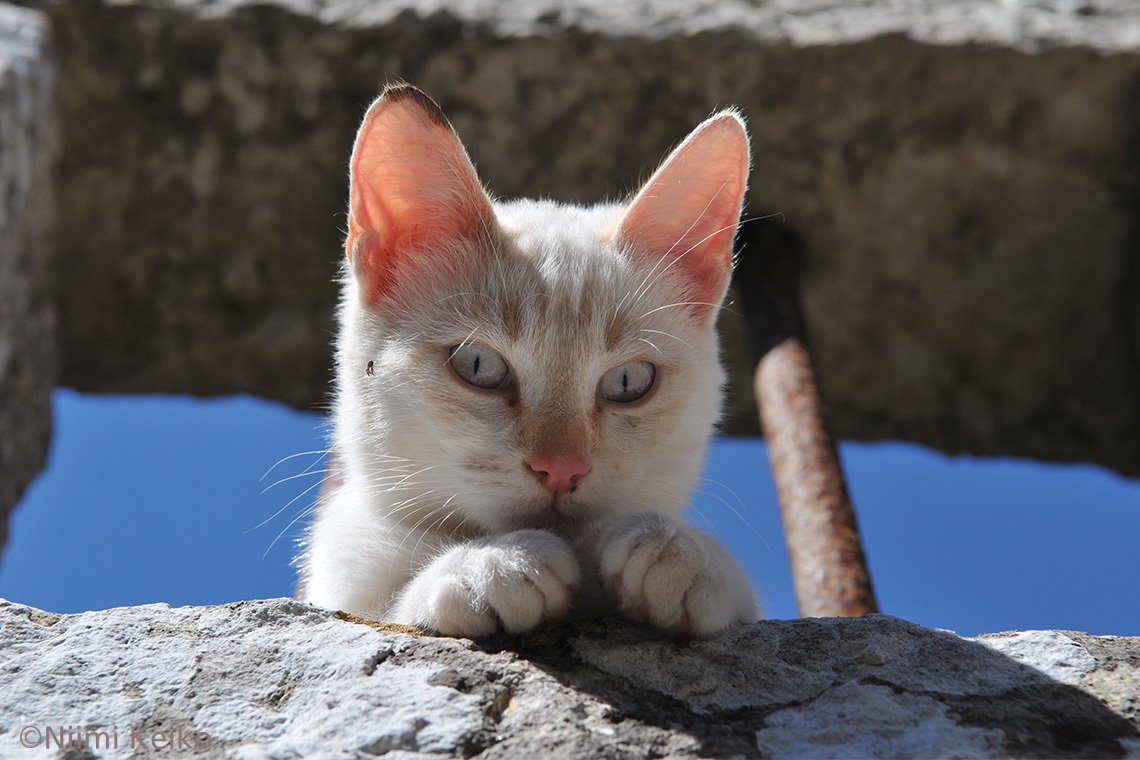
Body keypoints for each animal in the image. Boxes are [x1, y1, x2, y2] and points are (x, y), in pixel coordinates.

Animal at [298, 86, 761, 638]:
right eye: (478, 366)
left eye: (629, 381)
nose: (560, 469)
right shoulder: (345, 571)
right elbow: (383, 607)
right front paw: (491, 563)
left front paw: (679, 551)